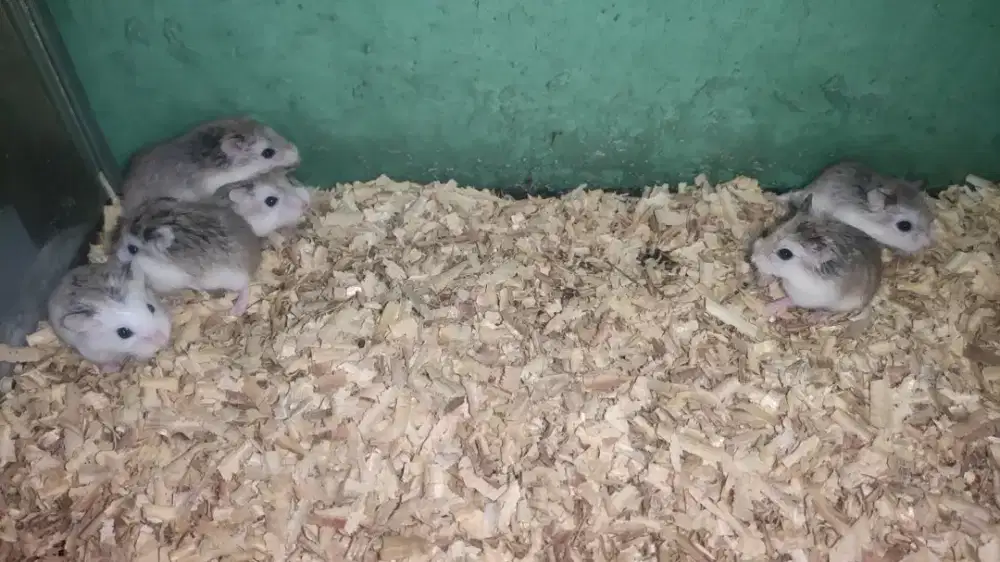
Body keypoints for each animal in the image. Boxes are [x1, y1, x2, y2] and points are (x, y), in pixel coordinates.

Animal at [750, 194, 883, 320]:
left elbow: (791, 300)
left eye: (785, 254)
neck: (794, 275)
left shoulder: (804, 295)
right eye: (773, 230)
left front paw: (768, 308)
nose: (753, 258)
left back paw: (815, 317)